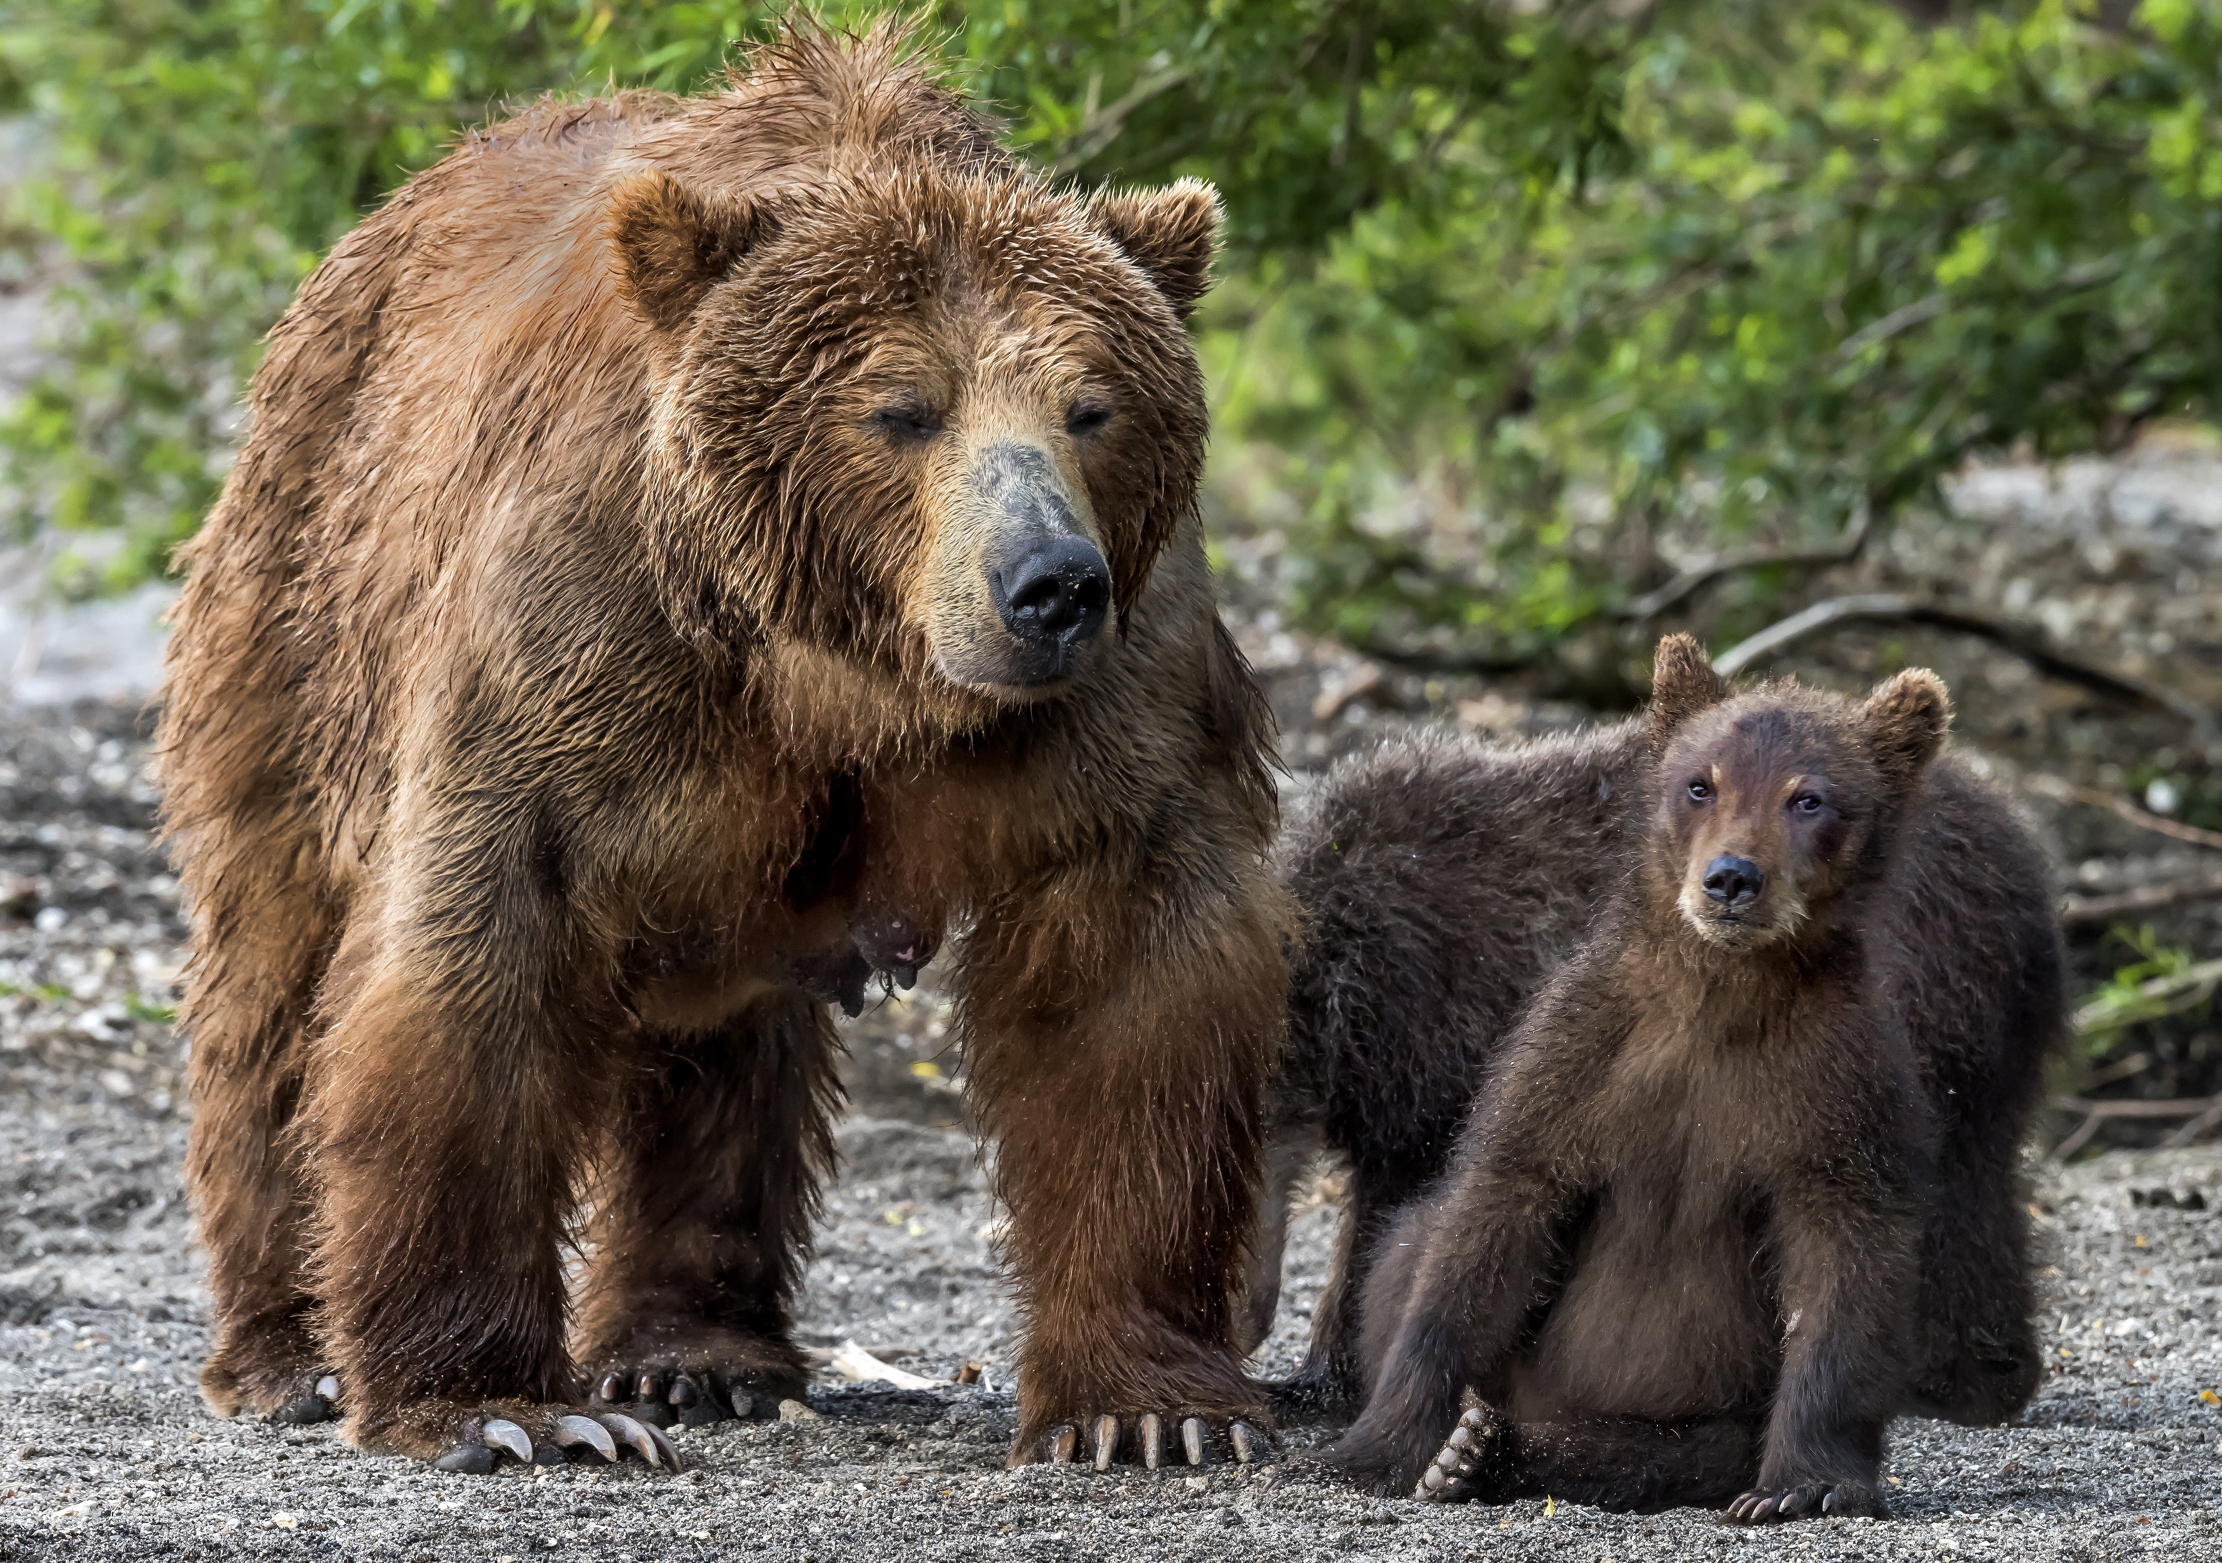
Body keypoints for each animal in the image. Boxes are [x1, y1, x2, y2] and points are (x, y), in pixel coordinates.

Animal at [156, 21, 1288, 1474]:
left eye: (1091, 406)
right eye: (900, 408)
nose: (1047, 584)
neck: (845, 672)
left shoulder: (1114, 704)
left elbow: (1129, 991)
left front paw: (1147, 1406)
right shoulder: (588, 637)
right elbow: (473, 966)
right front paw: (506, 1406)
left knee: (721, 1034)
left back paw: (692, 1353)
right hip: (299, 612)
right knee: (275, 972)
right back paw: (284, 1348)